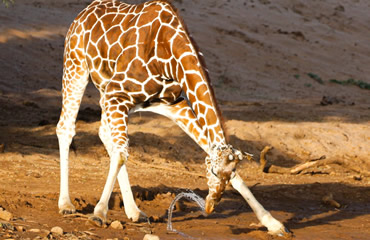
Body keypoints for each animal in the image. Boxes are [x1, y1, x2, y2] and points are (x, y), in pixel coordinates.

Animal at [56, 0, 290, 236]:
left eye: (230, 172)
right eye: (212, 171)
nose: (210, 205)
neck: (169, 54)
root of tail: (83, 12)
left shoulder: (174, 103)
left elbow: (209, 148)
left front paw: (273, 223)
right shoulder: (117, 93)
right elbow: (122, 154)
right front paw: (99, 213)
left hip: (114, 96)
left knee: (105, 134)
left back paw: (134, 211)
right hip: (77, 68)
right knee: (66, 127)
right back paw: (66, 204)